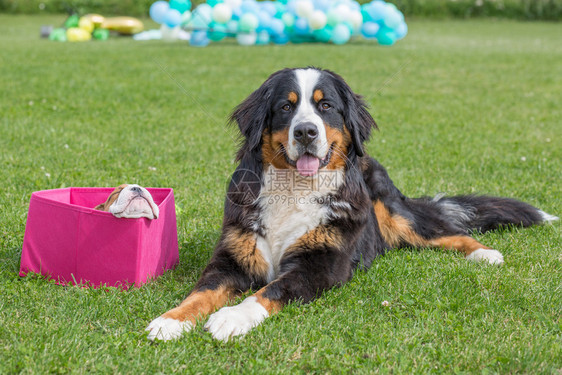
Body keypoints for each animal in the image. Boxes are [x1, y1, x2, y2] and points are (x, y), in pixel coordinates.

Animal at [145, 66, 556, 342]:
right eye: (285, 107)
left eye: (325, 106)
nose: (306, 132)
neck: (295, 190)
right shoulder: (233, 256)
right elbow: (201, 292)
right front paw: (172, 320)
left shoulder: (319, 265)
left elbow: (268, 291)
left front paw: (231, 318)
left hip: (394, 215)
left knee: (446, 231)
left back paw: (485, 253)